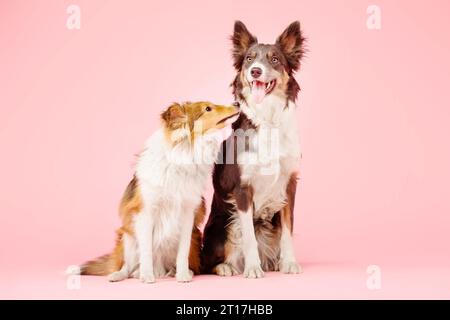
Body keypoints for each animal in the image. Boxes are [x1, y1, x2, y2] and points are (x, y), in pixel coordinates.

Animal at [82, 100, 241, 282]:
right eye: (208, 109)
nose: (237, 103)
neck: (184, 152)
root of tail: (161, 267)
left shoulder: (187, 213)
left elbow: (182, 252)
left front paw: (182, 275)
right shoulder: (146, 212)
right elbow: (146, 251)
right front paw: (146, 276)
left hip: (194, 238)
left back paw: (178, 271)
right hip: (128, 236)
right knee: (127, 267)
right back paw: (122, 274)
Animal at [203, 21, 306, 278]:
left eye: (275, 59)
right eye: (249, 59)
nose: (256, 71)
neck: (268, 119)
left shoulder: (289, 184)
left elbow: (288, 230)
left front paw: (289, 263)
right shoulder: (242, 189)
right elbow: (248, 235)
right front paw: (252, 268)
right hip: (223, 222)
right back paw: (227, 267)